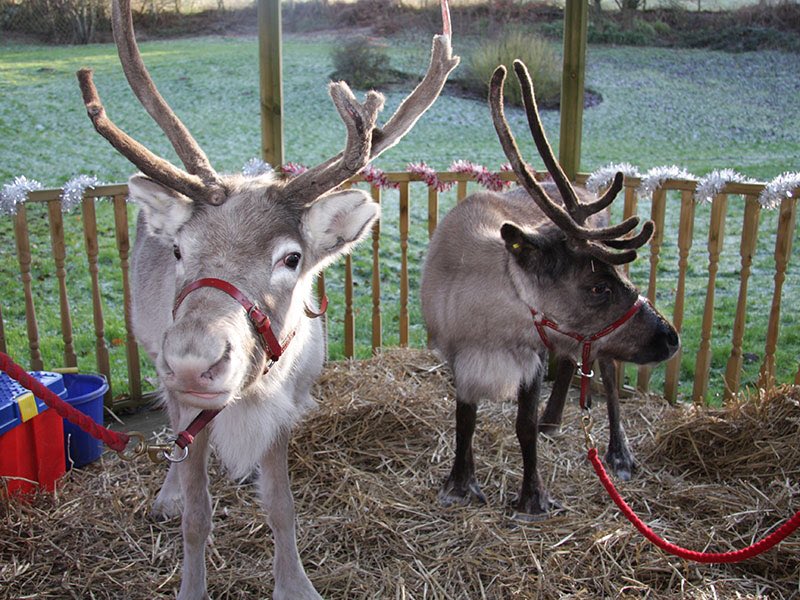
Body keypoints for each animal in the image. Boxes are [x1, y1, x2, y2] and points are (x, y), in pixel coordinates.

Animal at [76, 1, 458, 597]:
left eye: (292, 258)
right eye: (180, 249)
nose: (193, 359)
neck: (248, 397)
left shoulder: (281, 411)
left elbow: (282, 507)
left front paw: (295, 584)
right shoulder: (187, 404)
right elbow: (197, 513)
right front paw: (191, 581)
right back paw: (165, 493)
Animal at [420, 60, 679, 520]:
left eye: (616, 278)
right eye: (596, 286)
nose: (671, 337)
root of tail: (586, 189)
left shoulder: (533, 354)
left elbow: (522, 427)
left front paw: (533, 497)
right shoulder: (457, 355)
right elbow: (464, 418)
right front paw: (460, 483)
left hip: (598, 343)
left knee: (607, 373)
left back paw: (618, 453)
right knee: (573, 362)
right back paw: (553, 419)